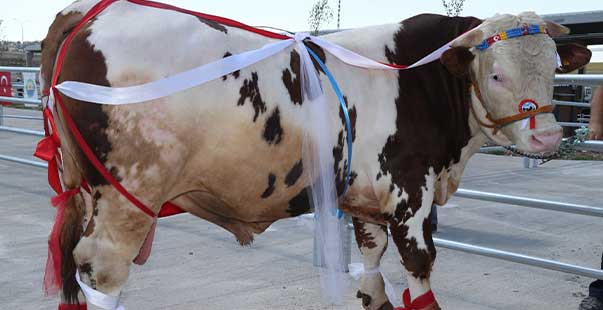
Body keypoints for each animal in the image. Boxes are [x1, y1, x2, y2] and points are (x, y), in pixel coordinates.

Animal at [40, 1, 592, 308]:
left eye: (553, 69)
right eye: (496, 74)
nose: (547, 136)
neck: (419, 77)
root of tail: (89, 13)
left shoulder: (368, 198)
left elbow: (372, 268)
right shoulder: (411, 194)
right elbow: (420, 269)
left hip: (86, 189)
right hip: (127, 196)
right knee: (103, 271)